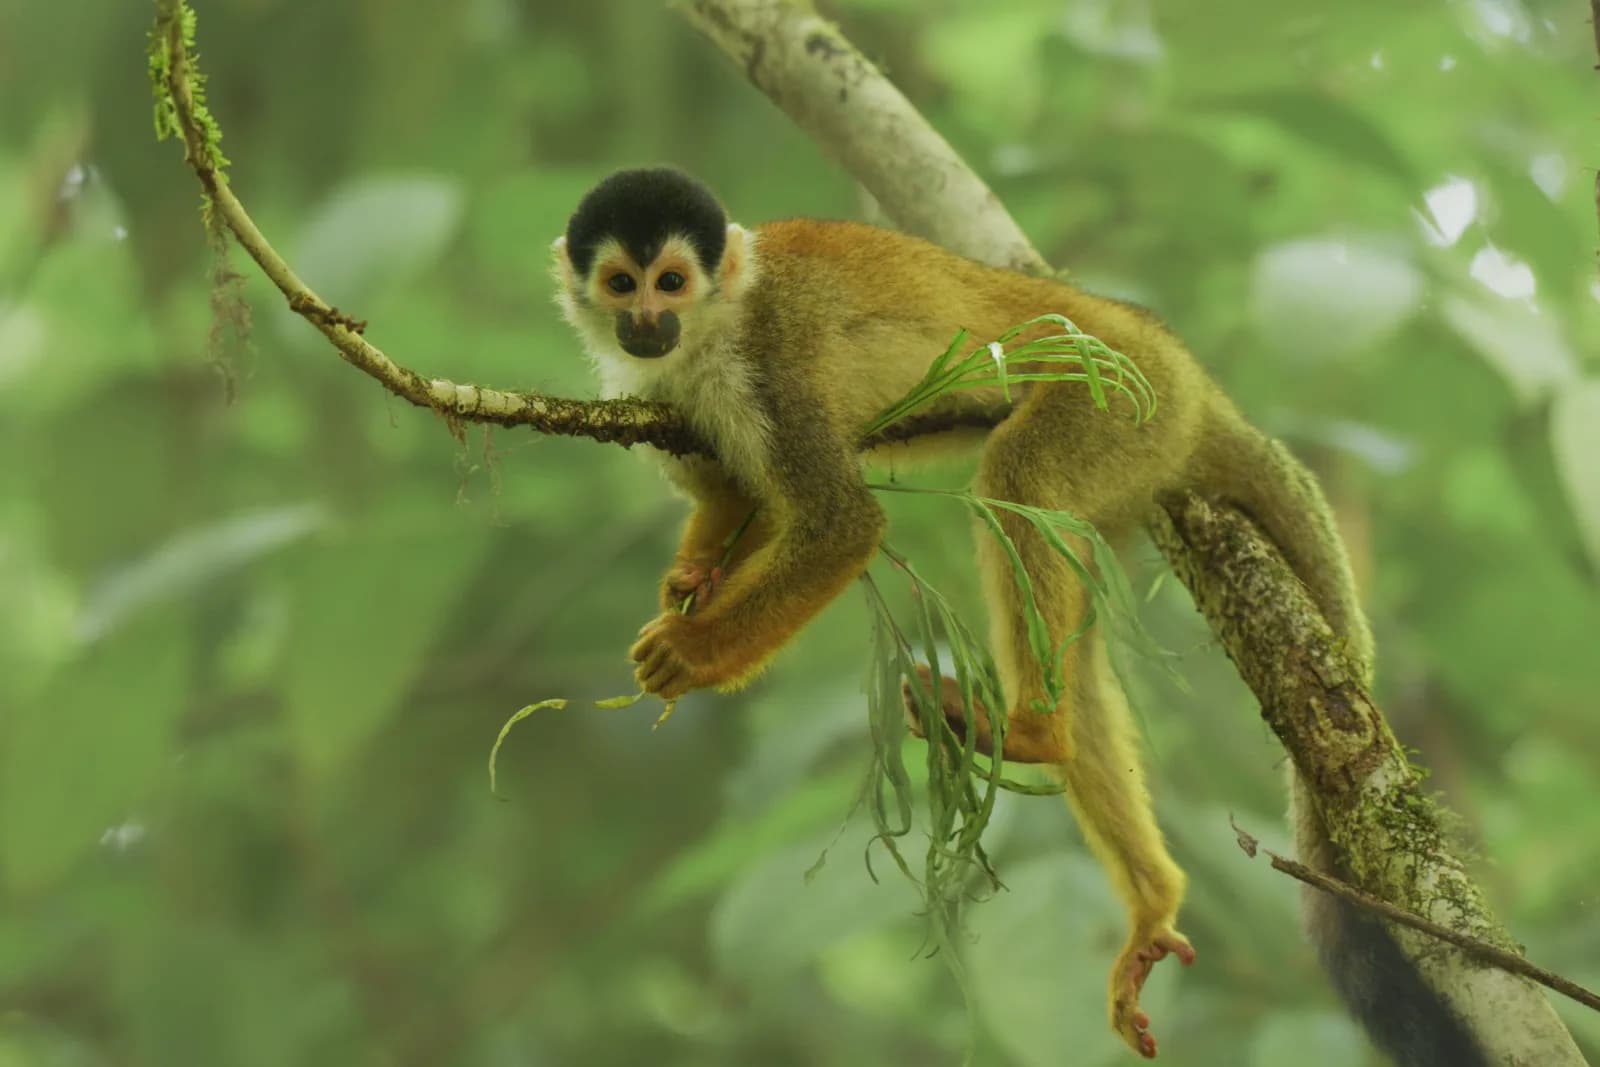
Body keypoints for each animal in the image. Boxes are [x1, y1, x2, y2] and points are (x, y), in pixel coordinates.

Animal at [551, 167, 1485, 1065]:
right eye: (623, 282)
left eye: (673, 281)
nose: (645, 321)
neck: (709, 334)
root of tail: (1185, 366)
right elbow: (736, 498)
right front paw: (692, 579)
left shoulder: (769, 366)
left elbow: (839, 523)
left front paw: (696, 649)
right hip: (1127, 463)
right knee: (1074, 615)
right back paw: (1145, 883)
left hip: (1120, 398)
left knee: (1019, 477)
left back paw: (1032, 730)